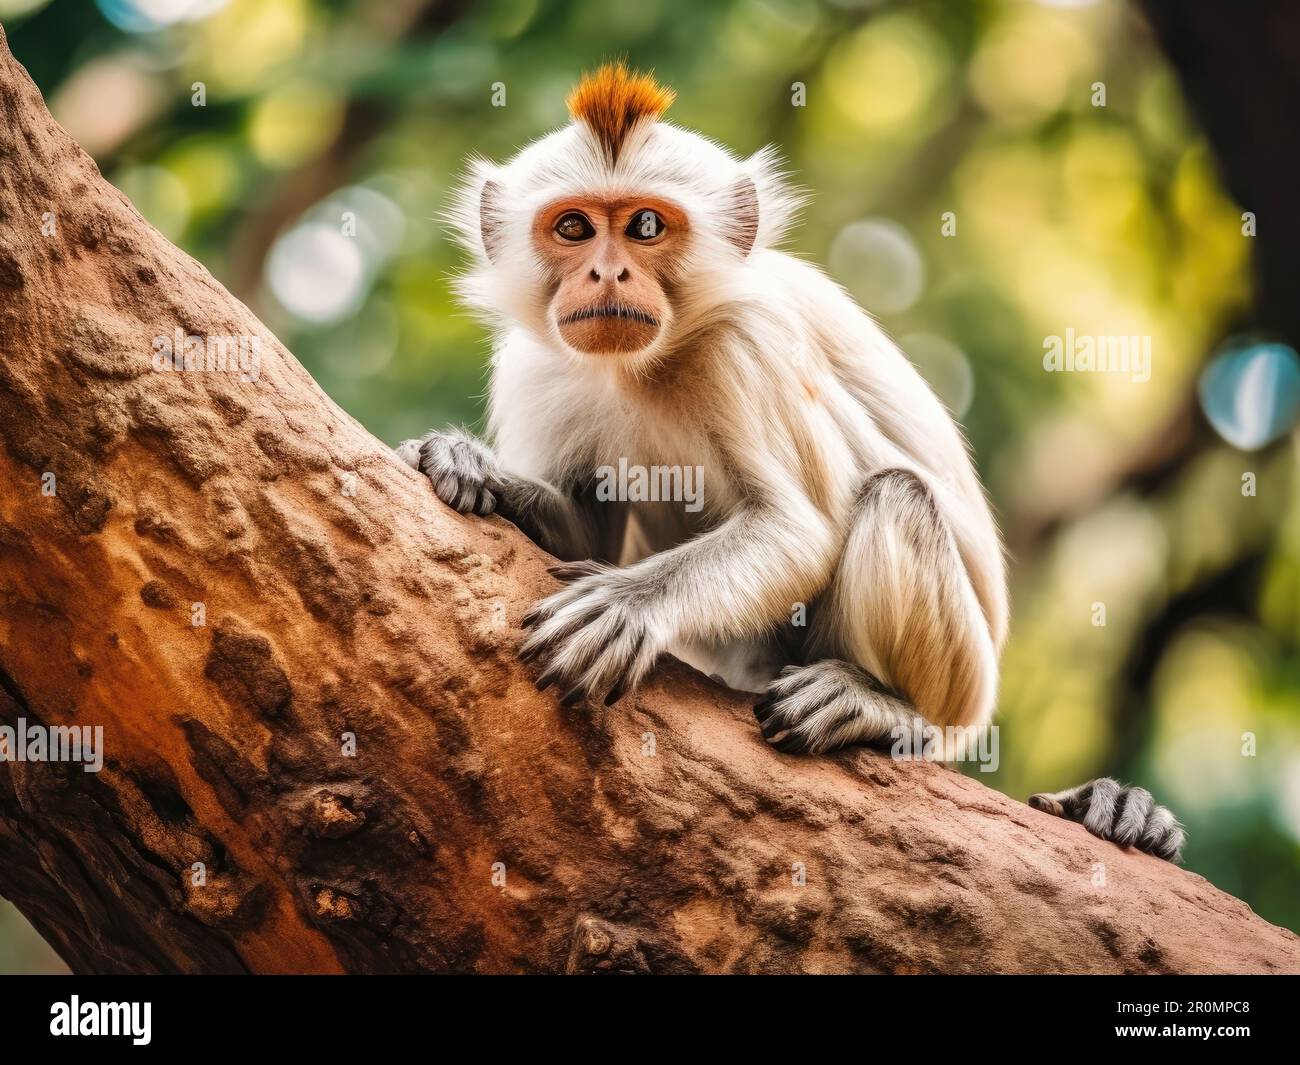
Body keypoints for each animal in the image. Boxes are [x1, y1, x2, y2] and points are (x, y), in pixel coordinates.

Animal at [397, 63, 1185, 863]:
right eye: (574, 228)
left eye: (646, 227)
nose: (607, 274)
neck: (640, 366)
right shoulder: (535, 364)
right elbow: (584, 537)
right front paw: (473, 467)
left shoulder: (746, 342)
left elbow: (800, 531)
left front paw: (626, 605)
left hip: (965, 683)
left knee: (897, 495)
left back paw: (886, 709)